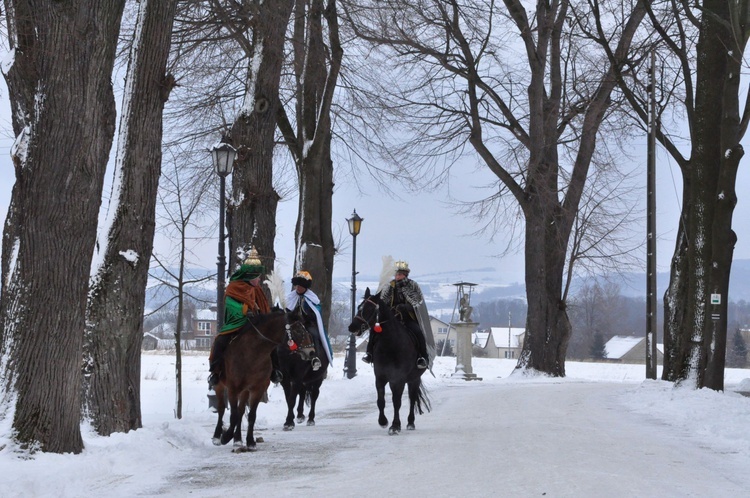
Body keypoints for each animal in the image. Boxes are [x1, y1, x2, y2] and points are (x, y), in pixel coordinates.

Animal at [210, 312, 310, 452]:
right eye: (298, 330)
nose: (311, 351)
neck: (253, 353)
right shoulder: (233, 388)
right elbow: (233, 415)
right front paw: (225, 437)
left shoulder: (258, 388)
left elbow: (251, 415)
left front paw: (250, 441)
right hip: (220, 385)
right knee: (221, 408)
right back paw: (217, 436)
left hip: (245, 390)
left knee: (241, 411)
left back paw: (238, 439)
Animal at [350, 290, 432, 434]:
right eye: (359, 307)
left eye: (369, 309)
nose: (352, 327)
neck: (391, 343)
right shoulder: (380, 377)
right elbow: (380, 401)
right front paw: (383, 421)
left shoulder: (398, 379)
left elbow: (396, 401)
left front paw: (395, 426)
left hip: (414, 379)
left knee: (412, 399)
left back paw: (411, 422)